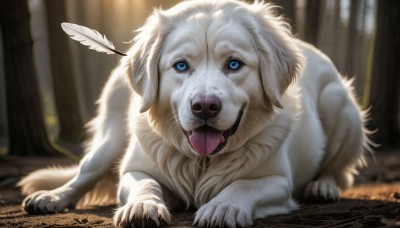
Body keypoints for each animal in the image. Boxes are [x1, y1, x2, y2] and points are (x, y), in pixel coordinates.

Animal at [17, 0, 370, 227]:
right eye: (181, 66)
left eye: (234, 64)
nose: (204, 106)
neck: (202, 161)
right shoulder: (135, 169)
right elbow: (145, 184)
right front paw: (143, 207)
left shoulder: (277, 180)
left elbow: (244, 186)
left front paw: (222, 208)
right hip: (110, 138)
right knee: (85, 172)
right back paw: (51, 197)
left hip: (339, 103)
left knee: (337, 169)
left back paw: (323, 186)